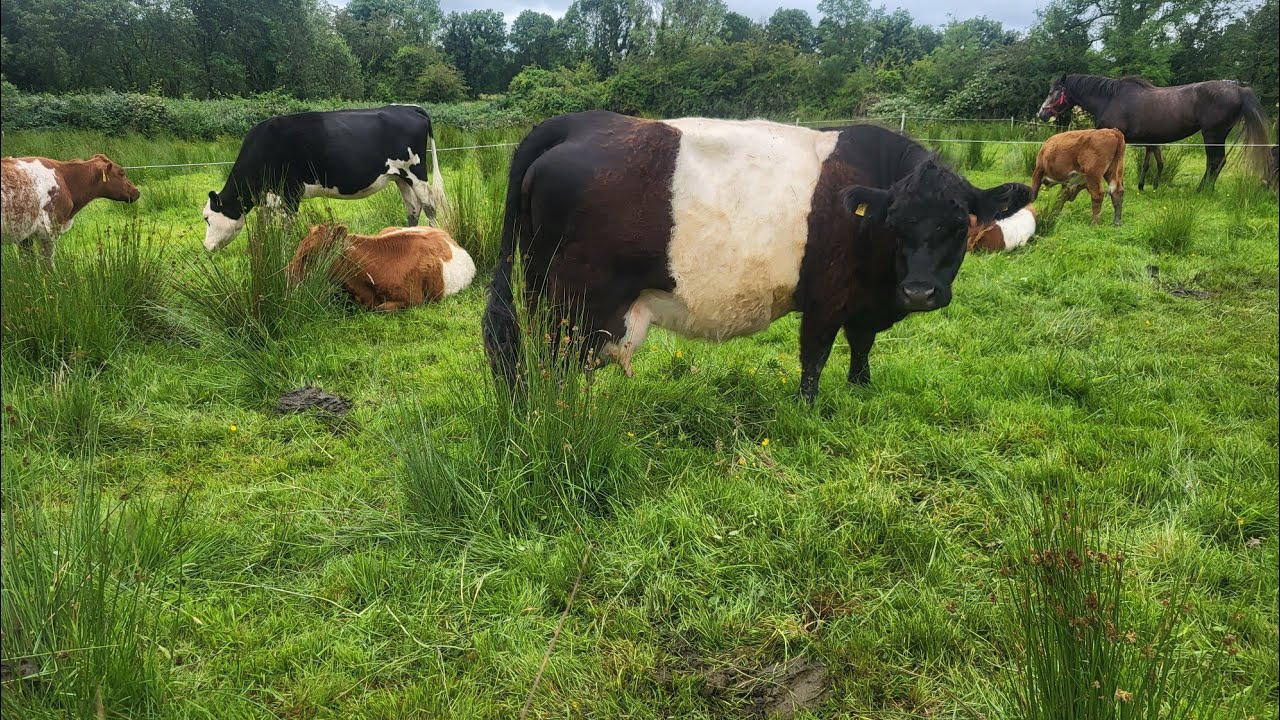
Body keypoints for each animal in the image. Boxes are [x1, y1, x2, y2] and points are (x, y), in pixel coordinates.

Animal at [1, 153, 140, 267]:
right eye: (121, 173)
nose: (137, 191)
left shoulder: (25, 234)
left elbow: (27, 266)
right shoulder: (49, 228)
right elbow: (47, 265)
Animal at [203, 105, 446, 251]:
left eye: (206, 217)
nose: (206, 247)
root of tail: (408, 107)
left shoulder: (291, 192)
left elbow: (288, 227)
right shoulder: (271, 197)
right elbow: (268, 226)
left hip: (416, 171)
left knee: (429, 205)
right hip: (400, 176)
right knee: (412, 208)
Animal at [481, 110, 1033, 404]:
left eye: (959, 226)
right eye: (895, 224)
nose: (919, 291)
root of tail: (577, 122)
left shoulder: (865, 302)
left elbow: (861, 347)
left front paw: (860, 388)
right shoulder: (828, 297)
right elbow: (815, 356)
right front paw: (809, 408)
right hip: (567, 306)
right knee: (548, 362)